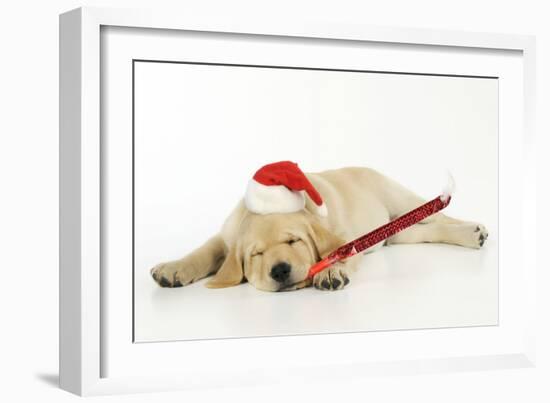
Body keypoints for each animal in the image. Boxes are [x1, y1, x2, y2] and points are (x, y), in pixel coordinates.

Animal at [150, 164, 488, 294]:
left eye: (294, 241)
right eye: (256, 254)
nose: (280, 270)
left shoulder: (346, 239)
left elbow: (339, 254)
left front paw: (329, 272)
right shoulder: (225, 236)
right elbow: (204, 251)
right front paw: (173, 268)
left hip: (400, 200)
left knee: (440, 215)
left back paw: (474, 231)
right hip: (396, 232)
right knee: (425, 230)